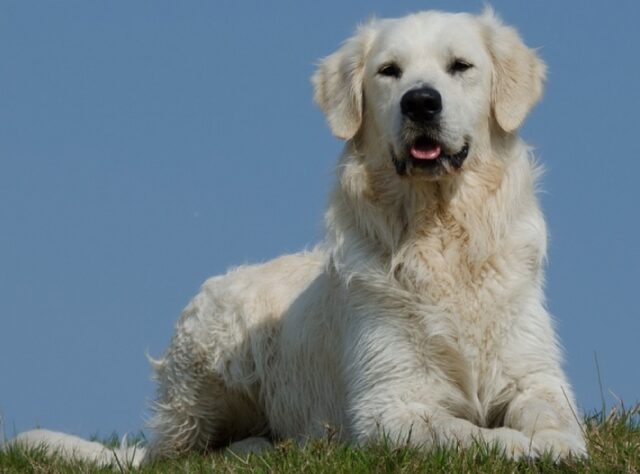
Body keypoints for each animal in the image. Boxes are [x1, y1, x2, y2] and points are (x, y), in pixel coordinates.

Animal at [11, 8, 592, 466]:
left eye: (460, 67)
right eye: (390, 71)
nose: (421, 102)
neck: (440, 234)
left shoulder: (534, 374)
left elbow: (553, 414)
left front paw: (557, 442)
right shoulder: (392, 404)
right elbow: (466, 433)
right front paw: (519, 446)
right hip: (212, 352)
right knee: (183, 455)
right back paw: (256, 447)